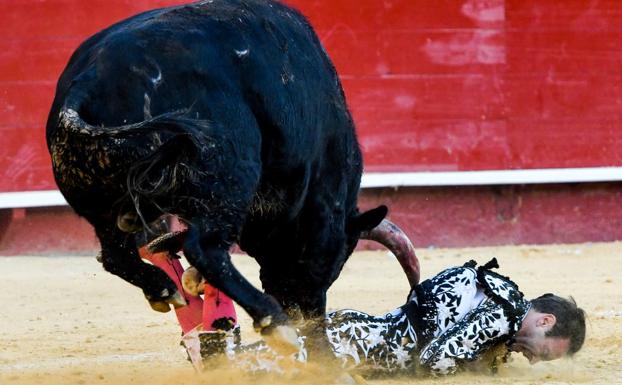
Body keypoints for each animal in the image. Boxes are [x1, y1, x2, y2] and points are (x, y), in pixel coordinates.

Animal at [46, 0, 422, 340]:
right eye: (336, 257)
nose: (308, 314)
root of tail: (85, 84)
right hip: (230, 176)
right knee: (204, 247)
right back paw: (275, 322)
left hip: (102, 205)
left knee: (115, 255)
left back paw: (164, 288)